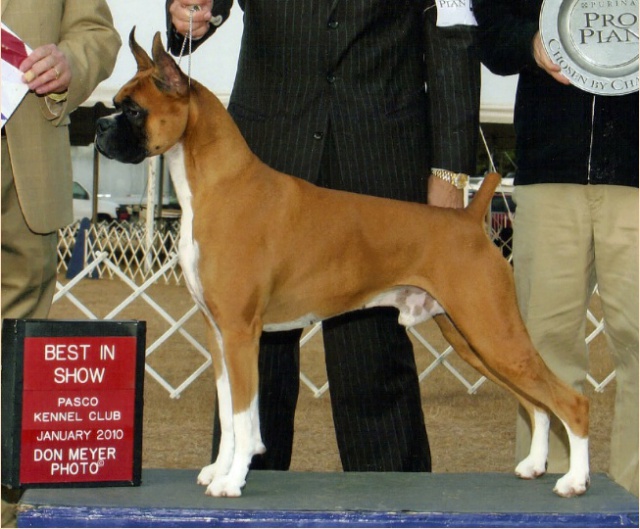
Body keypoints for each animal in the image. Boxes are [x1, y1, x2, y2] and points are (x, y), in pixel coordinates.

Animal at [95, 31, 592, 498]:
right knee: (536, 403)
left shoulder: (240, 334)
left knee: (569, 400)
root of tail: (469, 217)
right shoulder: (216, 334)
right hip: (471, 338)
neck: (220, 184)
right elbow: (228, 411)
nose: (98, 125)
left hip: (493, 332)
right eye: (117, 103)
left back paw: (574, 480)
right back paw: (535, 465)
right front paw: (219, 469)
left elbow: (244, 416)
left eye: (134, 110)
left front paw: (232, 480)